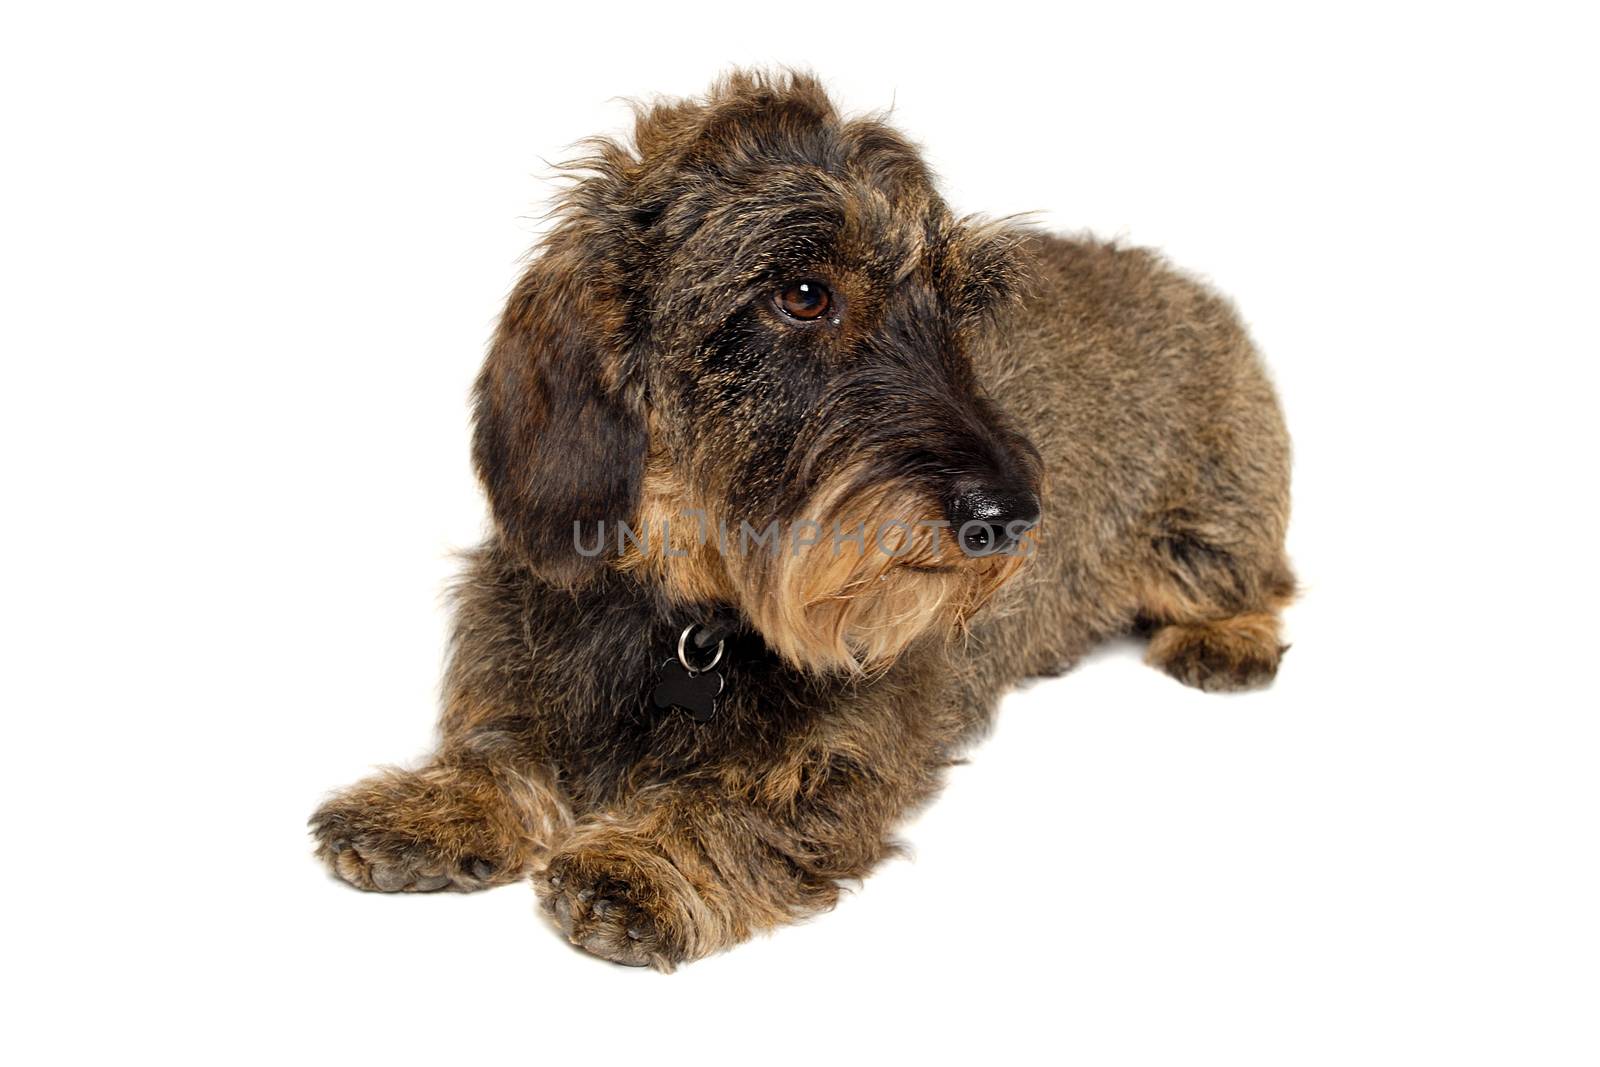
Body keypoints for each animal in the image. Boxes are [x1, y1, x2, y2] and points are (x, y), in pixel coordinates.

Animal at [305, 66, 1292, 966]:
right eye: (805, 295)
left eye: (958, 314)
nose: (1011, 515)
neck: (686, 612)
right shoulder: (522, 623)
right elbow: (502, 736)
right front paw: (440, 800)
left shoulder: (853, 736)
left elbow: (750, 797)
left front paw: (645, 861)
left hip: (1214, 526)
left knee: (1263, 580)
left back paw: (1227, 637)